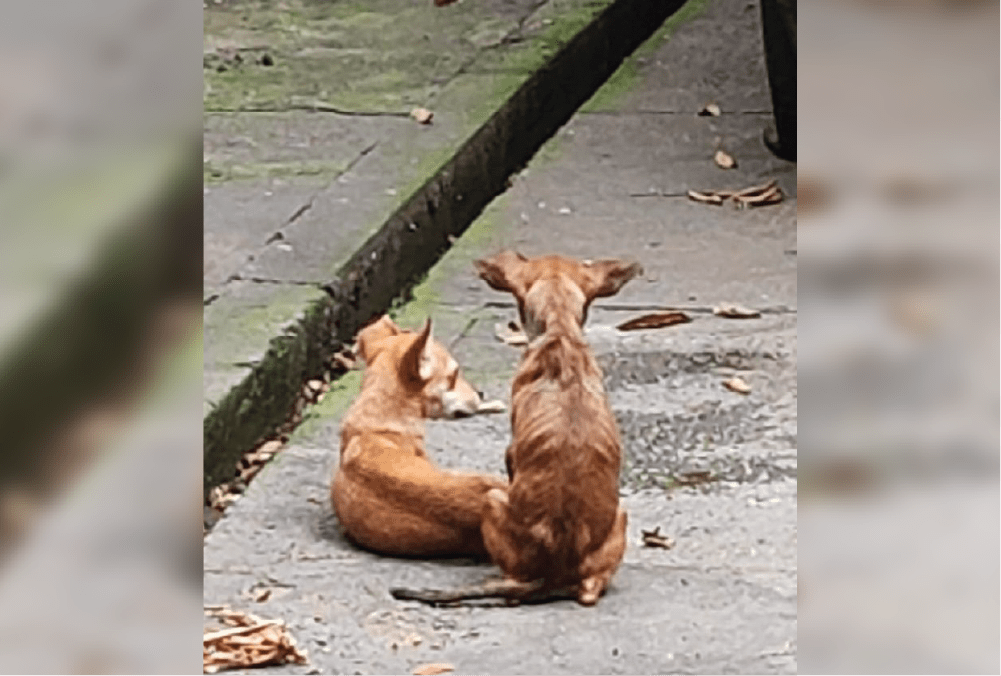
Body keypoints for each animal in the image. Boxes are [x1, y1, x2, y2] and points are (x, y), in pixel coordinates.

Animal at [390, 252, 640, 608]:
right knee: (591, 590)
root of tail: (553, 571)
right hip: (621, 517)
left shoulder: (510, 453)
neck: (559, 331)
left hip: (493, 501)